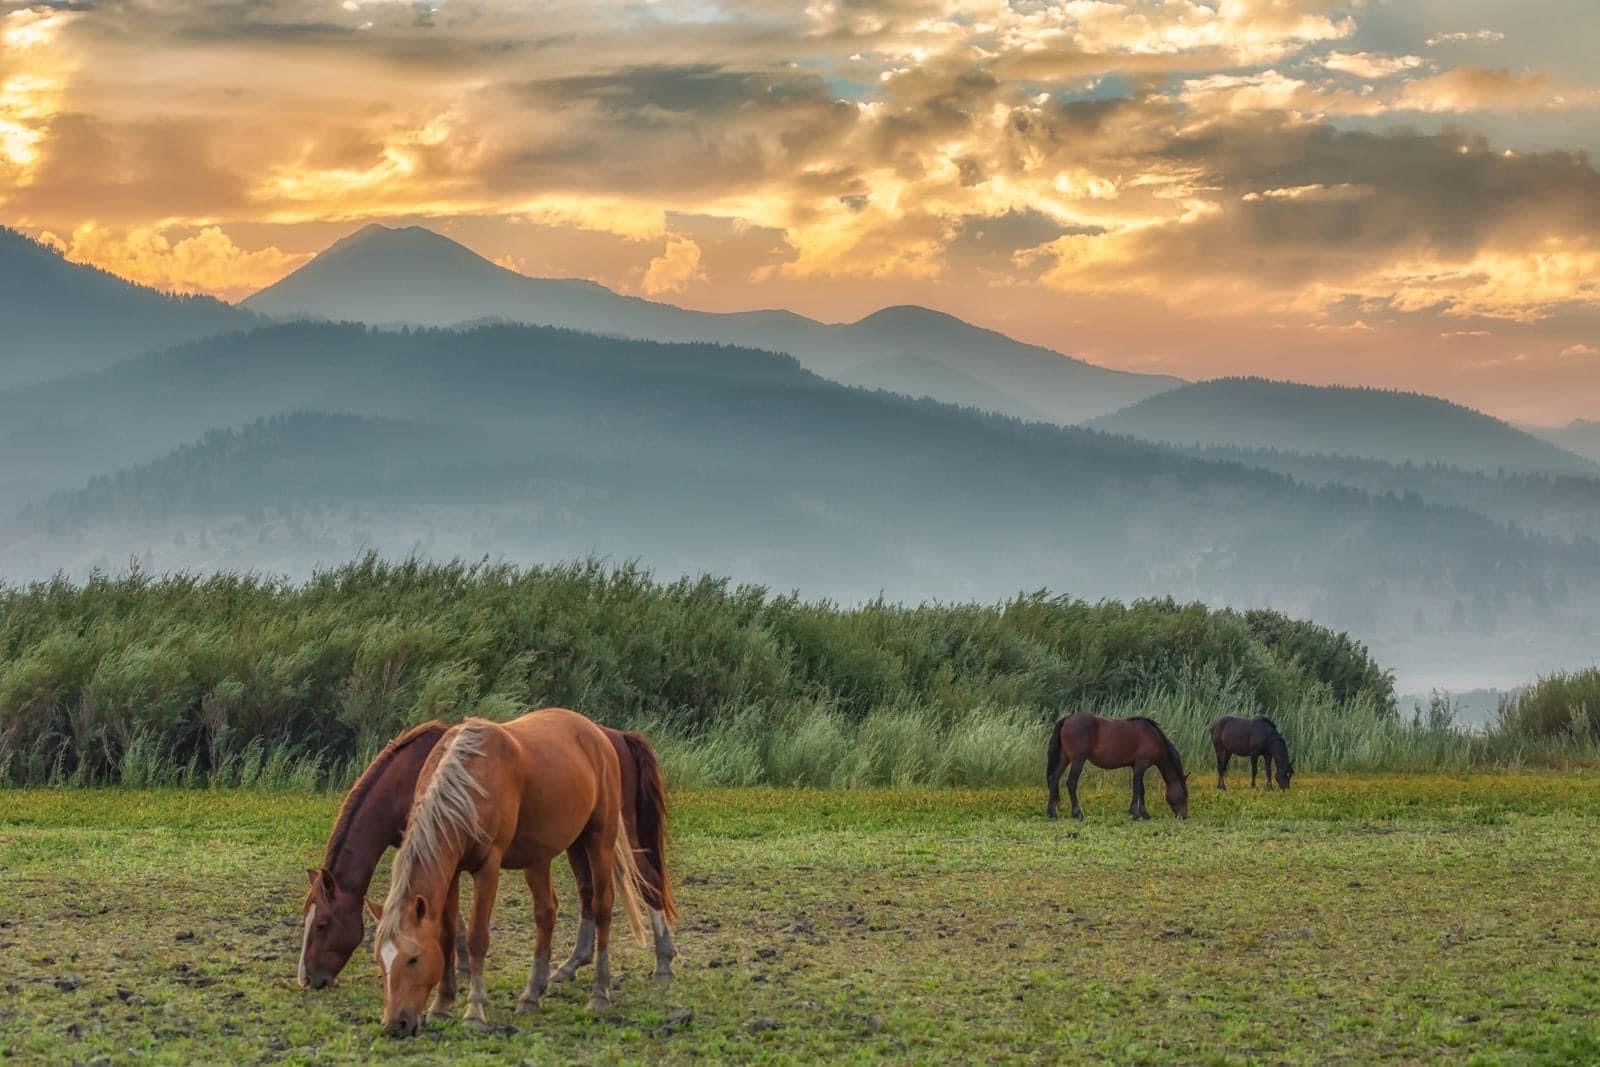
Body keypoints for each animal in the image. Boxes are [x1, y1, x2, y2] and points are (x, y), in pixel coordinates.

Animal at [299, 723, 675, 998]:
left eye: (323, 924)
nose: (308, 979)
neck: (407, 777)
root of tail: (617, 738)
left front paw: (462, 965)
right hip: (577, 841)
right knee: (588, 893)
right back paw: (571, 964)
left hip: (616, 835)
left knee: (649, 883)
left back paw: (663, 962)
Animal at [374, 703, 649, 1036]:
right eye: (380, 960)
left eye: (413, 959)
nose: (395, 1025)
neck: (469, 781)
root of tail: (597, 734)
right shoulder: (451, 872)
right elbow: (448, 935)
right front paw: (441, 1006)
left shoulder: (488, 868)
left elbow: (477, 937)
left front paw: (474, 1010)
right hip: (540, 857)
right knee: (546, 913)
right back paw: (532, 994)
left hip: (599, 840)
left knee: (602, 907)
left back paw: (599, 992)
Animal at [1049, 716, 1190, 825]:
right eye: (1184, 795)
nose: (1183, 816)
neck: (1153, 737)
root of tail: (1067, 719)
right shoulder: (1141, 765)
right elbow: (1138, 788)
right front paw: (1135, 814)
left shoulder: (1136, 766)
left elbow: (1141, 789)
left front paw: (1144, 814)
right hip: (1078, 760)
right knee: (1071, 783)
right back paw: (1077, 814)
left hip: (1064, 758)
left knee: (1054, 779)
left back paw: (1052, 813)